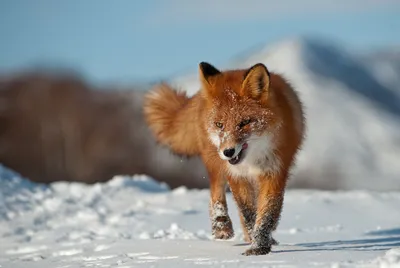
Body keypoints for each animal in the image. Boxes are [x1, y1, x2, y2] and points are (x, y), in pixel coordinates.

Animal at [144, 61, 304, 255]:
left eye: (244, 123)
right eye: (220, 124)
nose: (228, 152)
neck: (252, 160)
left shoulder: (274, 172)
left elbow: (266, 213)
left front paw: (259, 246)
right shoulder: (236, 175)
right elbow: (248, 212)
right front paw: (257, 244)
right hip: (215, 162)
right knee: (215, 191)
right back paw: (221, 226)